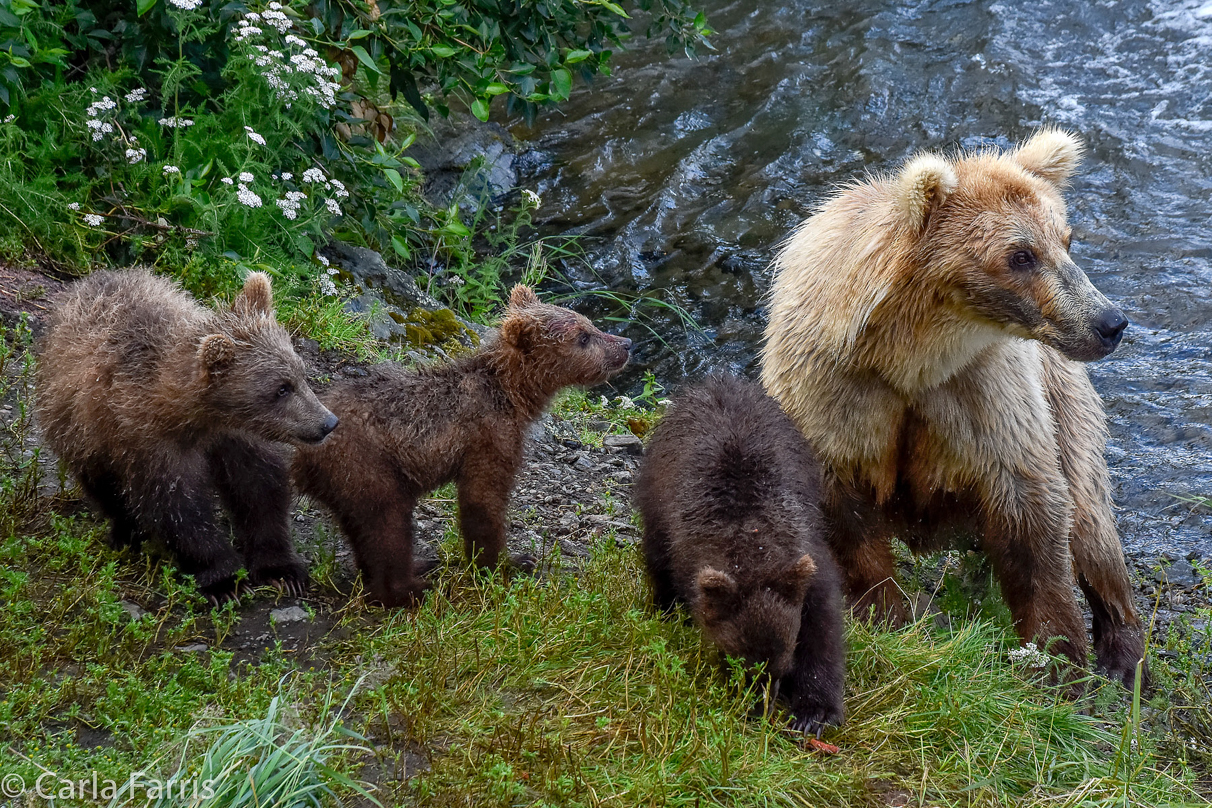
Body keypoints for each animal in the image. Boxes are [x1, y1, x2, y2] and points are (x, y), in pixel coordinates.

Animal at [765, 129, 1144, 688]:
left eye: (1067, 239)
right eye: (1021, 254)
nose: (1109, 322)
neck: (906, 358)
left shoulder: (982, 392)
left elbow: (1032, 509)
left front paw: (1058, 656)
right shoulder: (834, 394)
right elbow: (845, 520)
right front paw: (888, 612)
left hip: (1063, 400)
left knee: (1091, 519)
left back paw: (1123, 651)